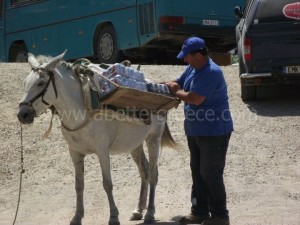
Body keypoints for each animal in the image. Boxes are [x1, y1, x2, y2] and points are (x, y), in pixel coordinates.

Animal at [17, 51, 178, 225]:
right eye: (25, 83)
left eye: (40, 83)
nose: (22, 114)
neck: (83, 109)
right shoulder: (75, 153)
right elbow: (79, 185)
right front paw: (77, 217)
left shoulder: (102, 151)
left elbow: (107, 183)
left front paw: (113, 217)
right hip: (134, 144)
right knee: (145, 171)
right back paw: (138, 211)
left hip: (153, 138)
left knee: (153, 175)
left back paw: (150, 213)